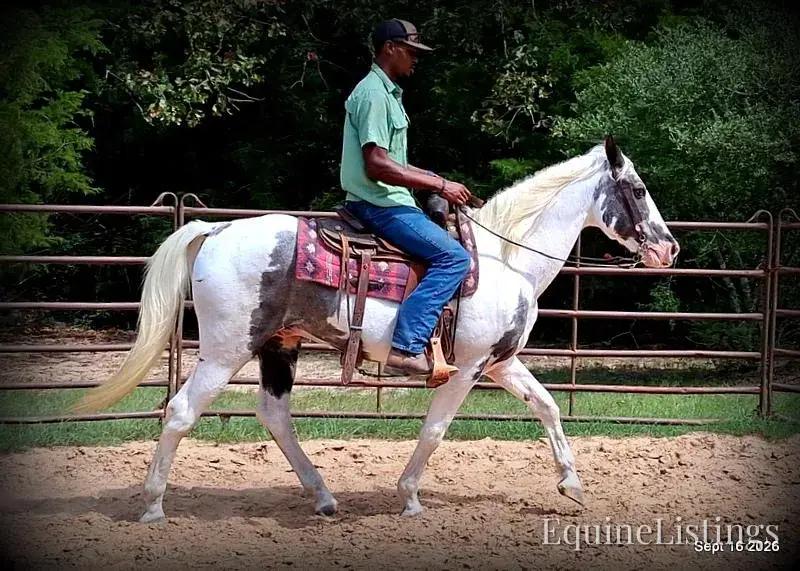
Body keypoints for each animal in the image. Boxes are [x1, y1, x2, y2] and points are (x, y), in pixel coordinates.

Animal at [76, 137, 679, 522]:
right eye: (638, 189)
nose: (669, 248)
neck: (504, 258)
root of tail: (216, 230)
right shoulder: (466, 369)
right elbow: (435, 430)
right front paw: (409, 497)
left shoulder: (501, 363)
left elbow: (548, 406)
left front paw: (571, 484)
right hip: (227, 350)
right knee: (180, 412)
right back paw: (154, 505)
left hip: (277, 347)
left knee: (274, 414)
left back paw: (323, 497)